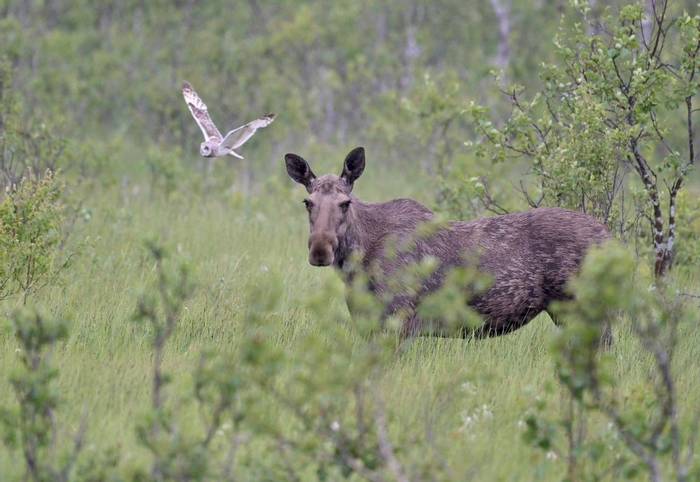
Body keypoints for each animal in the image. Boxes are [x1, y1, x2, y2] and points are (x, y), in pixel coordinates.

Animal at [284, 147, 612, 338]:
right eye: (307, 202)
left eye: (345, 203)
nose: (320, 250)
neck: (356, 263)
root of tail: (611, 239)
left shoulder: (400, 320)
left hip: (579, 307)